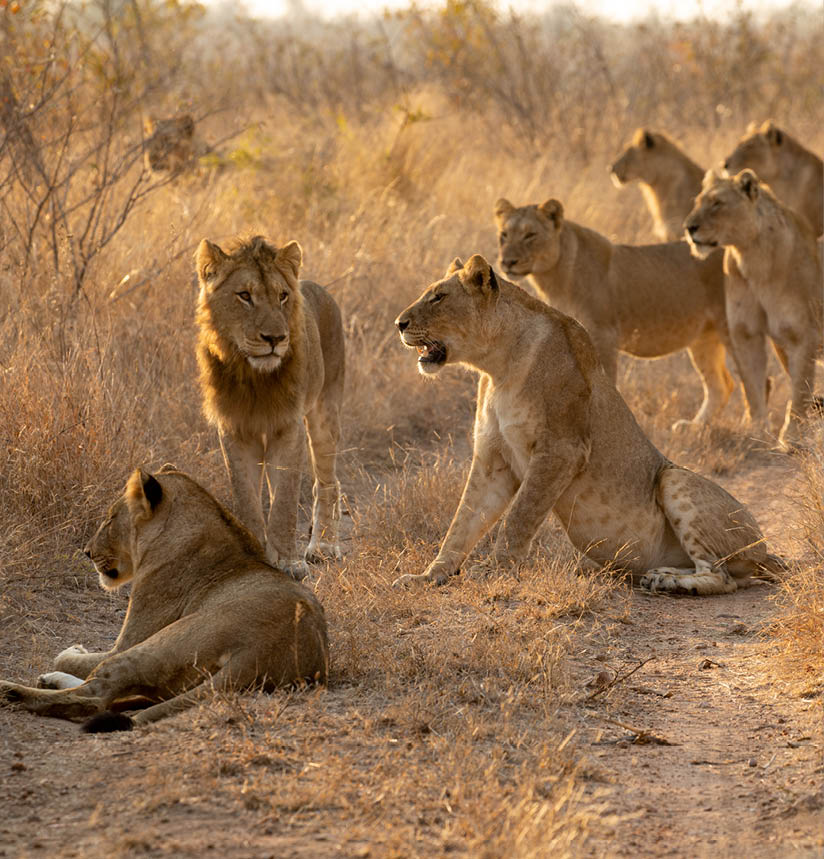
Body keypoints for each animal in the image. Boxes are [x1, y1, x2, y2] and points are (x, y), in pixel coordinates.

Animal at [0, 467, 329, 732]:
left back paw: (10, 691)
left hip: (159, 645)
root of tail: (262, 652)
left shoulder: (129, 639)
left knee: (93, 698)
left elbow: (67, 656)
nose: (87, 552)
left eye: (110, 519)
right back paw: (43, 682)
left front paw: (72, 650)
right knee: (118, 697)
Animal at [196, 236, 345, 579]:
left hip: (325, 410)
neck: (254, 378)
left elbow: (285, 502)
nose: (275, 338)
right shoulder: (235, 430)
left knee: (327, 483)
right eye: (244, 296)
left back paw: (324, 546)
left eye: (282, 296)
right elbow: (248, 499)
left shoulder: (288, 427)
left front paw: (290, 563)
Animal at [391, 255, 784, 595]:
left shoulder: (562, 449)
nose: (399, 324)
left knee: (723, 576)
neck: (497, 367)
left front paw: (494, 571)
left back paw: (668, 582)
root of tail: (764, 549)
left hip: (675, 479)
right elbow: (462, 523)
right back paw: (662, 575)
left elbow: (518, 517)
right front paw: (428, 576)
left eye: (439, 297)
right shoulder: (492, 460)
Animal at [494, 197, 732, 428]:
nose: (507, 262)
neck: (554, 278)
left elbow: (605, 383)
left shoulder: (604, 336)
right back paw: (694, 426)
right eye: (504, 235)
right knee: (721, 386)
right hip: (703, 338)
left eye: (530, 235)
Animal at [684, 168, 823, 447]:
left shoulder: (802, 333)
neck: (752, 257)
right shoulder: (746, 332)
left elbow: (800, 388)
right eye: (698, 202)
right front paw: (757, 432)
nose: (689, 227)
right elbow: (753, 384)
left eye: (717, 203)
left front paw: (792, 438)